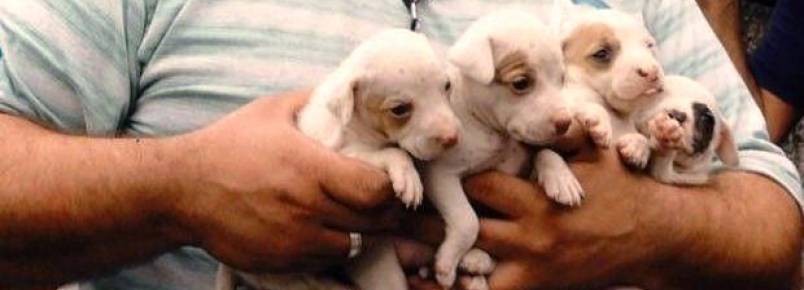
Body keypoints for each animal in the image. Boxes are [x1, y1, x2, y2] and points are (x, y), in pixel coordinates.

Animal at [217, 28, 462, 290]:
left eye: (447, 86)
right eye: (399, 109)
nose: (452, 138)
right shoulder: (342, 154)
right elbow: (394, 153)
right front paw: (409, 177)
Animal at [430, 10, 580, 288]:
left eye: (561, 80)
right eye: (521, 83)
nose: (566, 122)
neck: (496, 135)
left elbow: (544, 151)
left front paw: (562, 178)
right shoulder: (440, 173)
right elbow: (467, 220)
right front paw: (446, 264)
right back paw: (474, 259)